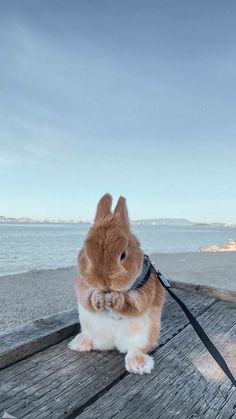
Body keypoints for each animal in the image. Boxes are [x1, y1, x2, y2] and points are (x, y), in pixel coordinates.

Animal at [68, 195, 164, 376]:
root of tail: (113, 343)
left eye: (123, 255)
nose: (104, 281)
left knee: (136, 349)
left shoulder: (144, 293)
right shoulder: (82, 286)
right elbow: (87, 298)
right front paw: (98, 298)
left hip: (143, 335)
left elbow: (134, 304)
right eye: (86, 252)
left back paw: (139, 364)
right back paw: (78, 344)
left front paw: (116, 299)